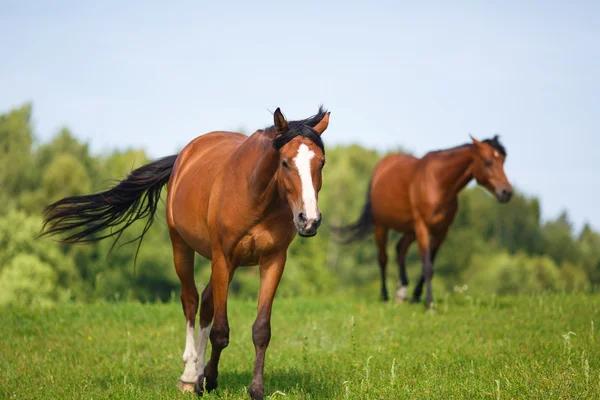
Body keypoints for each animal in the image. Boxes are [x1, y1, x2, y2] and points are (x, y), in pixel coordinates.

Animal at [41, 107, 332, 400]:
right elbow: (220, 330)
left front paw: (255, 389)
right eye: (284, 163)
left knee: (206, 304)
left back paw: (198, 375)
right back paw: (190, 376)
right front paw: (209, 379)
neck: (256, 195)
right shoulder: (223, 258)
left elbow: (261, 330)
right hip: (182, 247)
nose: (309, 220)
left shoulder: (273, 261)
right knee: (191, 301)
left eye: (321, 163)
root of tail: (184, 155)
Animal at [332, 137, 510, 310]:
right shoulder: (422, 226)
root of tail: (381, 167)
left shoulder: (441, 231)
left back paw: (402, 293)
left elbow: (429, 264)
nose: (506, 192)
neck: (439, 183)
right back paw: (385, 296)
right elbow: (427, 266)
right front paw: (429, 304)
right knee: (383, 258)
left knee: (400, 249)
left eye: (502, 161)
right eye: (487, 162)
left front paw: (417, 297)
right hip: (382, 226)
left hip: (410, 230)